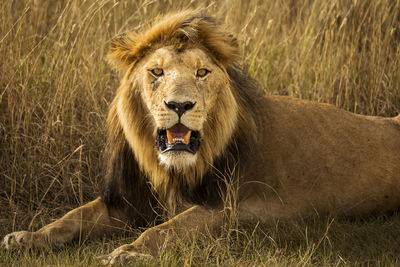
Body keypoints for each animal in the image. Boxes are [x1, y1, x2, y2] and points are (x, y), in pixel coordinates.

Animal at [3, 10, 400, 266]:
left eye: (202, 72)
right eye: (157, 71)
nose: (180, 105)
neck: (169, 170)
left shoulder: (229, 207)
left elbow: (171, 227)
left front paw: (131, 251)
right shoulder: (129, 202)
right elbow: (71, 217)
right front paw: (26, 238)